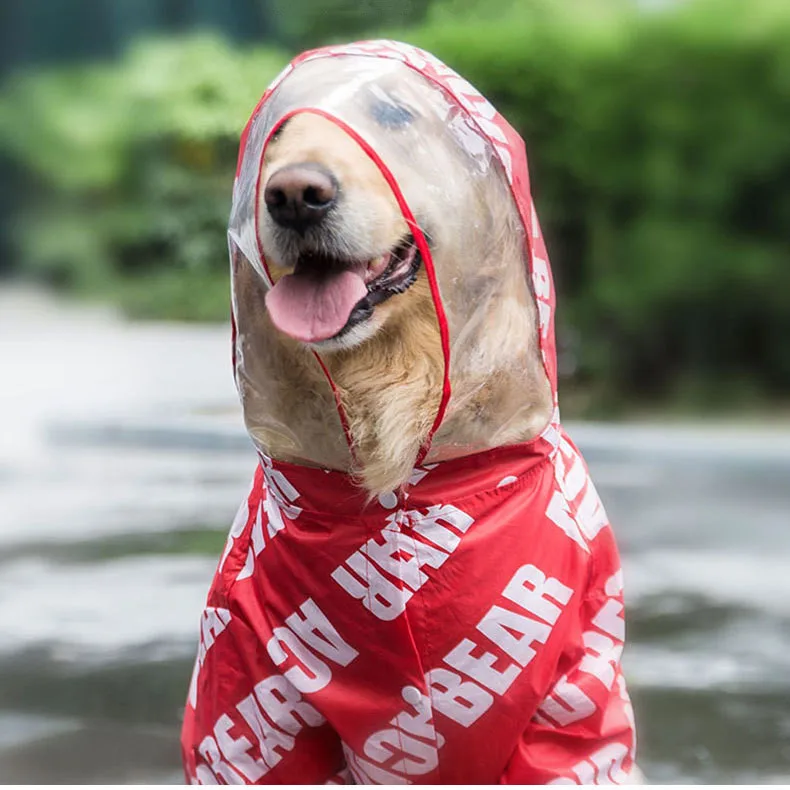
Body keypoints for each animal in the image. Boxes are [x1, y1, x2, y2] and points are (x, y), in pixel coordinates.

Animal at [183, 41, 640, 784]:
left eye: (394, 116)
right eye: (276, 134)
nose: (292, 194)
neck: (406, 495)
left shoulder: (573, 698)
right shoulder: (251, 693)